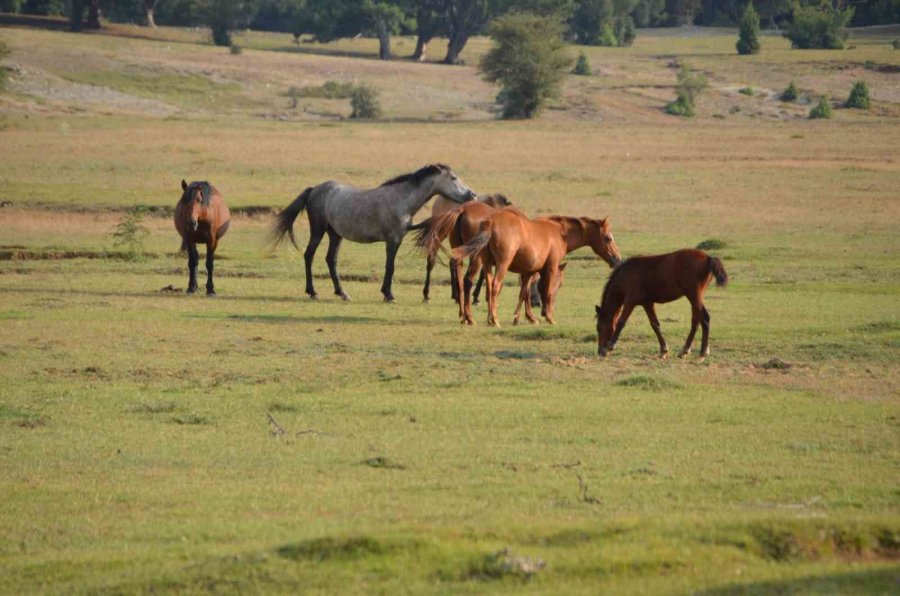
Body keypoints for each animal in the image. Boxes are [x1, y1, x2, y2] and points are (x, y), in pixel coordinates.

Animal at [270, 163, 474, 302]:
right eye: (453, 178)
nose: (471, 194)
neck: (401, 199)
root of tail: (314, 190)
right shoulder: (393, 240)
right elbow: (390, 266)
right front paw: (389, 294)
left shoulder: (398, 239)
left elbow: (390, 266)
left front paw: (386, 293)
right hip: (318, 231)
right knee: (309, 256)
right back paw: (313, 292)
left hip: (335, 235)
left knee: (331, 260)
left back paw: (342, 293)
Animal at [454, 212, 624, 326]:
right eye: (608, 238)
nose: (617, 260)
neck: (559, 233)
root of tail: (490, 222)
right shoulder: (550, 268)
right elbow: (546, 292)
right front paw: (549, 317)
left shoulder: (529, 272)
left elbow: (524, 293)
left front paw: (521, 317)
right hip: (502, 264)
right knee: (495, 286)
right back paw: (494, 320)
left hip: (488, 264)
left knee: (489, 288)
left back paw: (489, 319)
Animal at [596, 248, 728, 358]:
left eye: (598, 328)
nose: (599, 351)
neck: (626, 275)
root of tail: (708, 258)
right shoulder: (647, 303)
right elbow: (655, 324)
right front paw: (663, 350)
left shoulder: (630, 301)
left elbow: (621, 322)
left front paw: (609, 347)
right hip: (695, 298)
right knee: (697, 320)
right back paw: (688, 350)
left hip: (693, 296)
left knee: (703, 318)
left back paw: (700, 350)